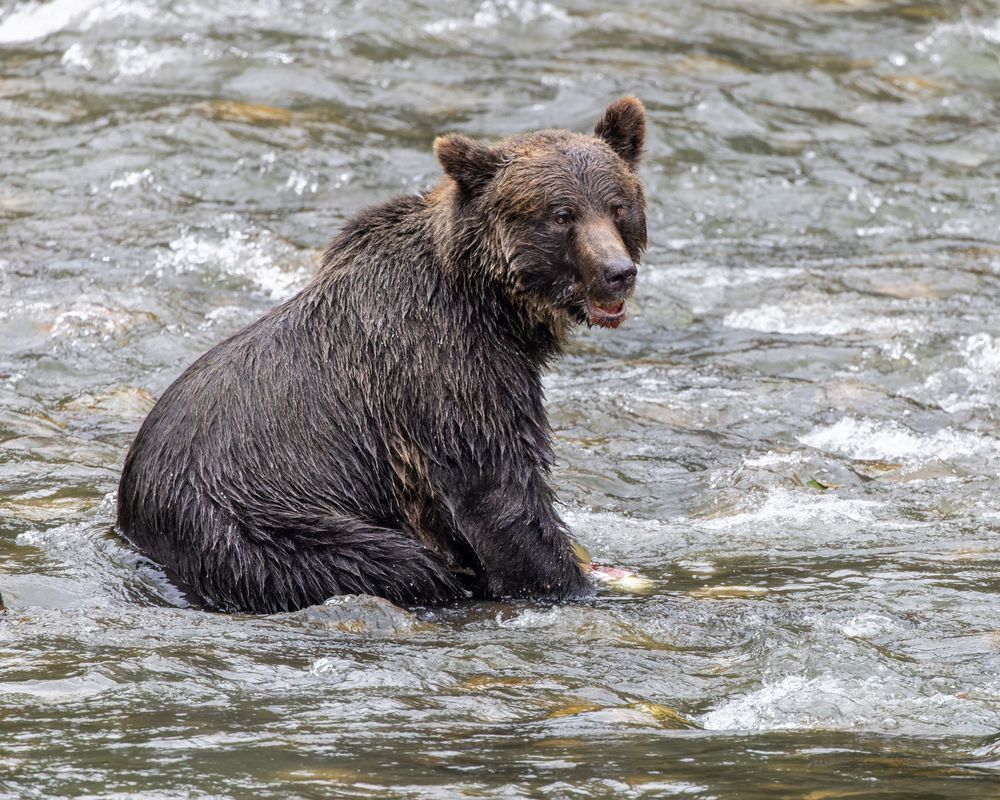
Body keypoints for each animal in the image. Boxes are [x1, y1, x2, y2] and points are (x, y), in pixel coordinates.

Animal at [117, 97, 647, 614]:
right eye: (561, 215)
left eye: (617, 205)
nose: (617, 272)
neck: (490, 305)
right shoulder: (449, 373)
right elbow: (499, 494)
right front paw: (580, 583)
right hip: (266, 528)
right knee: (392, 562)